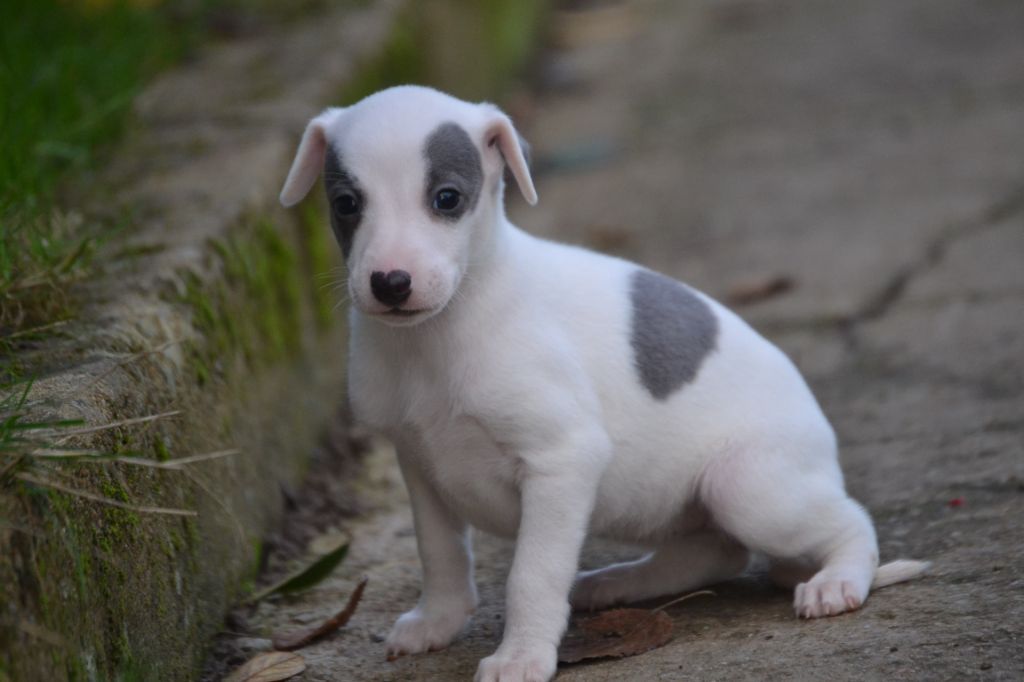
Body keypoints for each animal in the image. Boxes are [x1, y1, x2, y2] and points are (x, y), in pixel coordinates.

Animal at [280, 86, 929, 679]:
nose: (390, 283)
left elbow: (532, 575)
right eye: (346, 203)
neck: (438, 337)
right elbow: (440, 555)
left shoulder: (562, 461)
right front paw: (437, 622)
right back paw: (617, 582)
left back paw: (838, 580)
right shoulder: (420, 464)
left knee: (848, 520)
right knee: (715, 552)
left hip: (747, 487)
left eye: (446, 199)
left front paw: (521, 656)